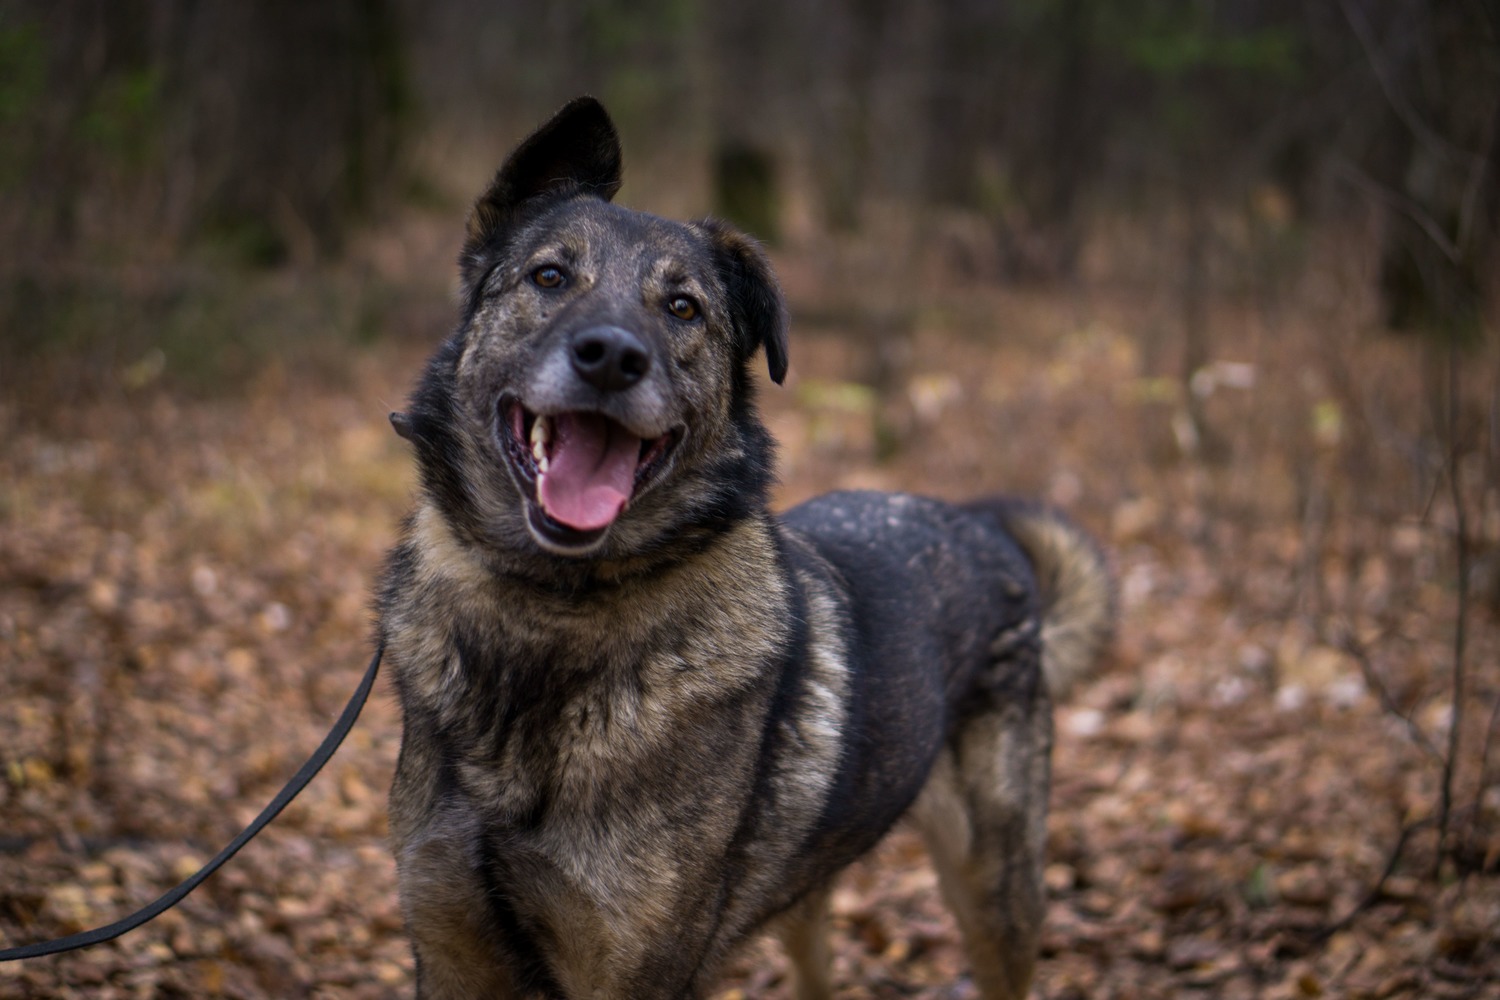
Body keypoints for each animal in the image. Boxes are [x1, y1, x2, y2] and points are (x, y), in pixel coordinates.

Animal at [381, 95, 1110, 1000]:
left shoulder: (635, 972)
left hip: (992, 886)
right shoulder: (451, 950)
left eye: (683, 309)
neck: (546, 614)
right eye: (548, 278)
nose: (612, 357)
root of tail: (977, 530)